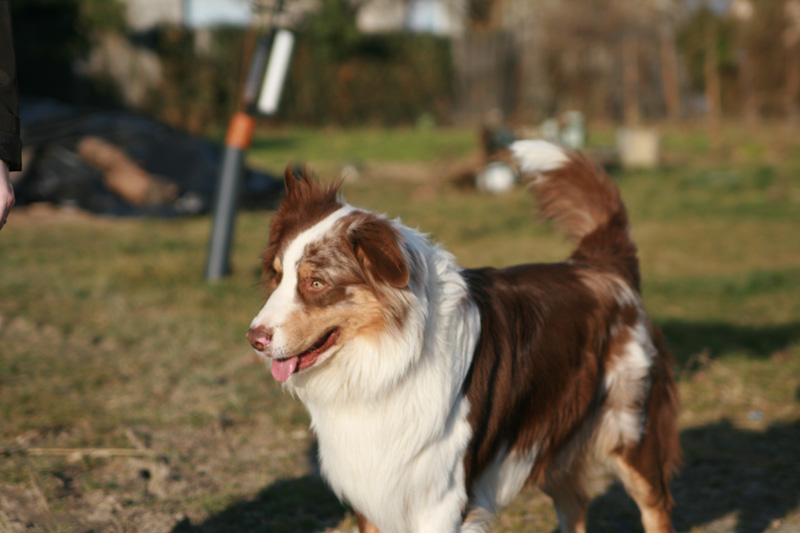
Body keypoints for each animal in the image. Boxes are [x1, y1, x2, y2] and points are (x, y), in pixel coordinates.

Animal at [247, 141, 680, 532]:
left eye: (316, 283)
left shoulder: (439, 500)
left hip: (630, 432)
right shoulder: (373, 494)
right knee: (575, 506)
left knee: (655, 508)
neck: (389, 361)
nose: (254, 339)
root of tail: (599, 266)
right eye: (277, 276)